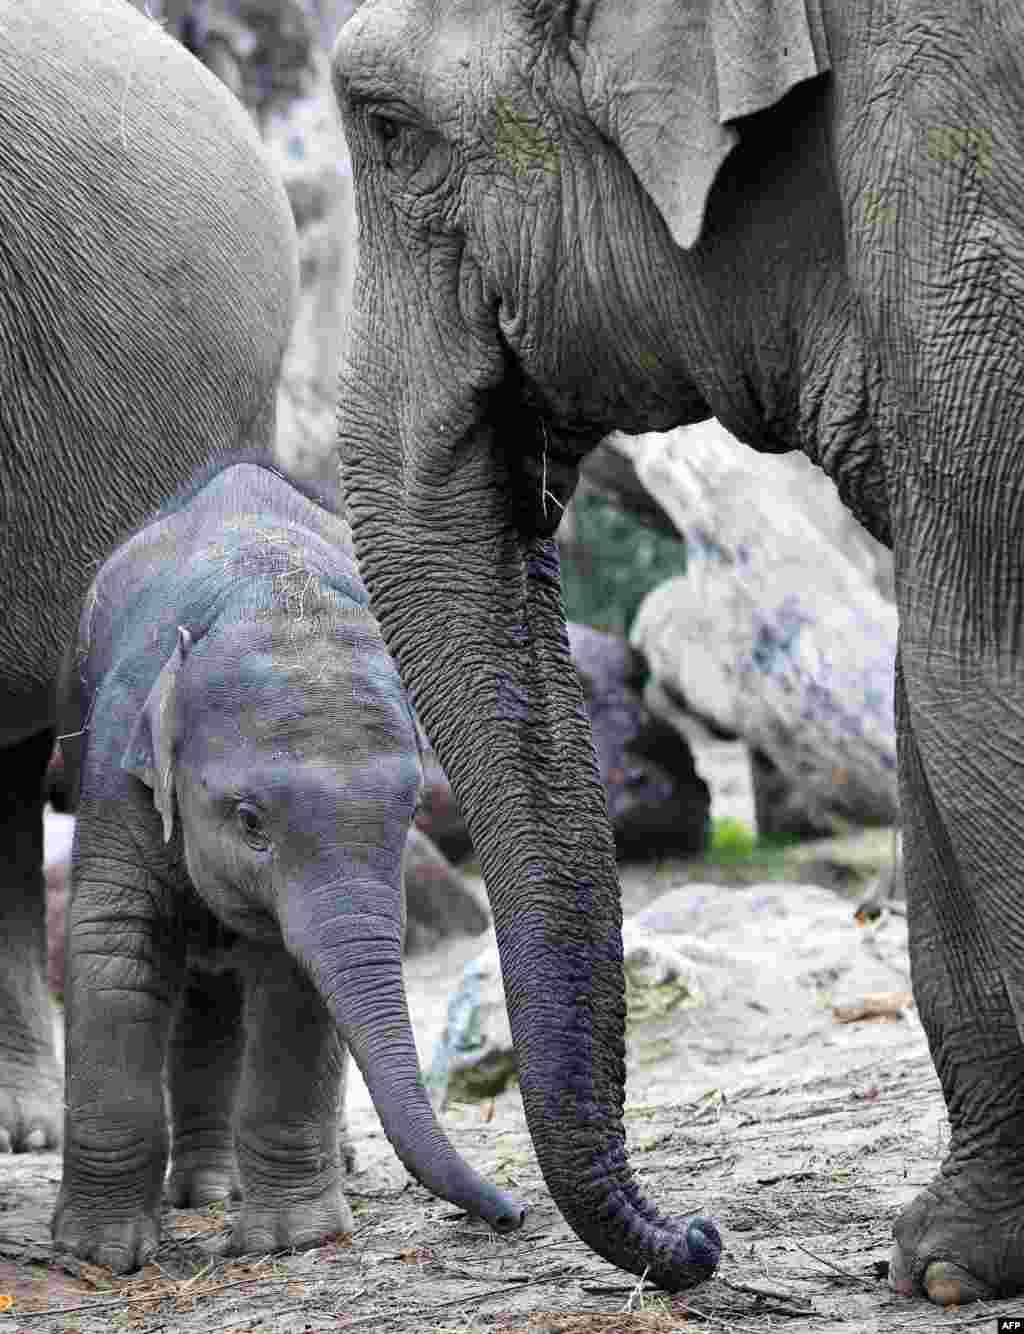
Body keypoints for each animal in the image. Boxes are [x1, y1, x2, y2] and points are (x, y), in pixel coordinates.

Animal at [52, 456, 522, 1269]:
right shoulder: (116, 769)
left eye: (410, 812)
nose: (513, 1214)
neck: (268, 587)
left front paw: (291, 1241)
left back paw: (236, 1188)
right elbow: (113, 947)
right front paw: (99, 1256)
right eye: (249, 822)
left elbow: (297, 982)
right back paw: (205, 1194)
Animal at [332, 0, 1024, 1307]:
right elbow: (938, 682)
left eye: (388, 129)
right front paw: (950, 1264)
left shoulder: (962, 166)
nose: (701, 1237)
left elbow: (976, 661)